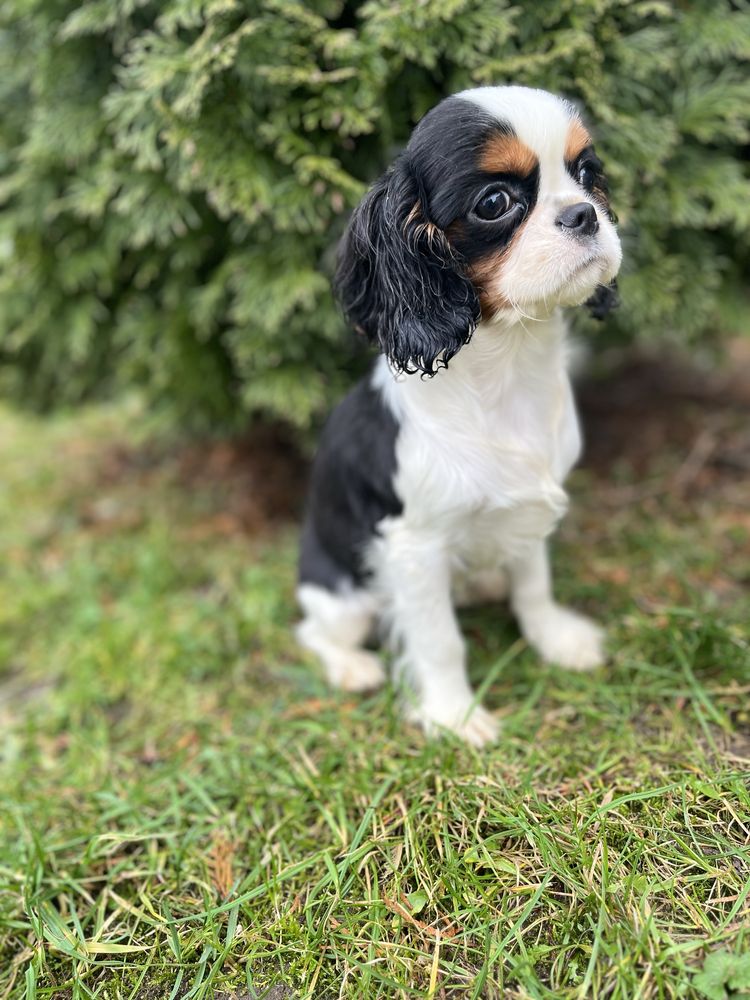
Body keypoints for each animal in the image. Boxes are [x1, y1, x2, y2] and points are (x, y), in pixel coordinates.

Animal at [298, 86, 624, 748]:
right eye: (493, 203)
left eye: (586, 175)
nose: (583, 214)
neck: (511, 364)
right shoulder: (413, 548)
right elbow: (439, 641)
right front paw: (455, 716)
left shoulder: (529, 513)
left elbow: (534, 585)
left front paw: (556, 639)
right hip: (341, 590)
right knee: (316, 631)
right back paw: (352, 667)